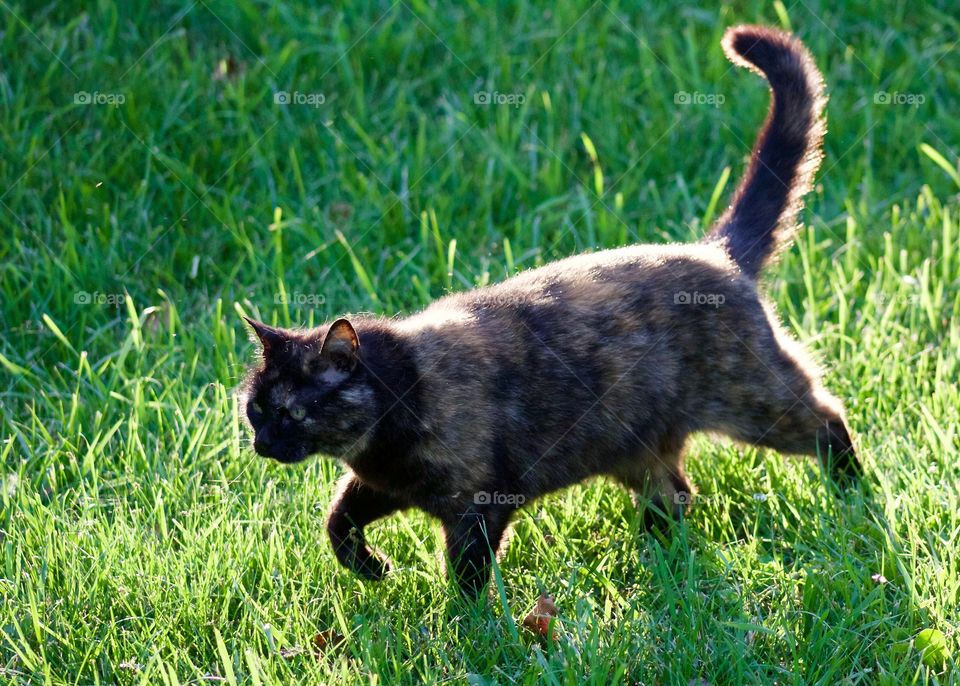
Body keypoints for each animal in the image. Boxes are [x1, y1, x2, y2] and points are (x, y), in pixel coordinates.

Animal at [240, 24, 864, 600]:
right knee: (677, 495)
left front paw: (469, 629)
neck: (402, 395)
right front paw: (372, 568)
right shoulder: (381, 485)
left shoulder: (478, 504)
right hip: (638, 449)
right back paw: (659, 560)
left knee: (828, 419)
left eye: (292, 412)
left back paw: (853, 494)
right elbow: (336, 522)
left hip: (755, 401)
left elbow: (466, 576)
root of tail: (719, 251)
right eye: (254, 408)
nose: (262, 442)